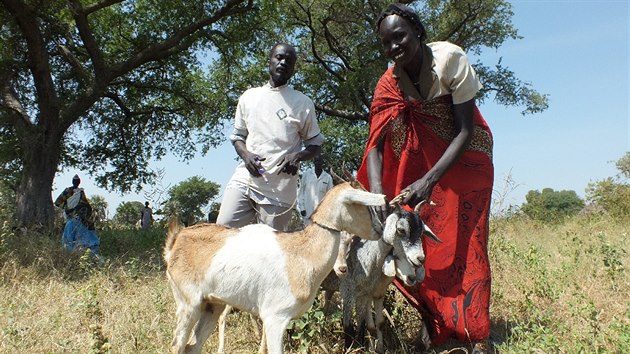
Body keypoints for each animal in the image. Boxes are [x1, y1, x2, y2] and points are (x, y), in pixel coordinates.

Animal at [163, 183, 388, 354]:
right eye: (363, 205)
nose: (380, 229)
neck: (302, 254)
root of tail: (177, 240)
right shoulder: (275, 318)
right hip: (188, 304)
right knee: (176, 346)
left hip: (212, 305)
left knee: (192, 347)